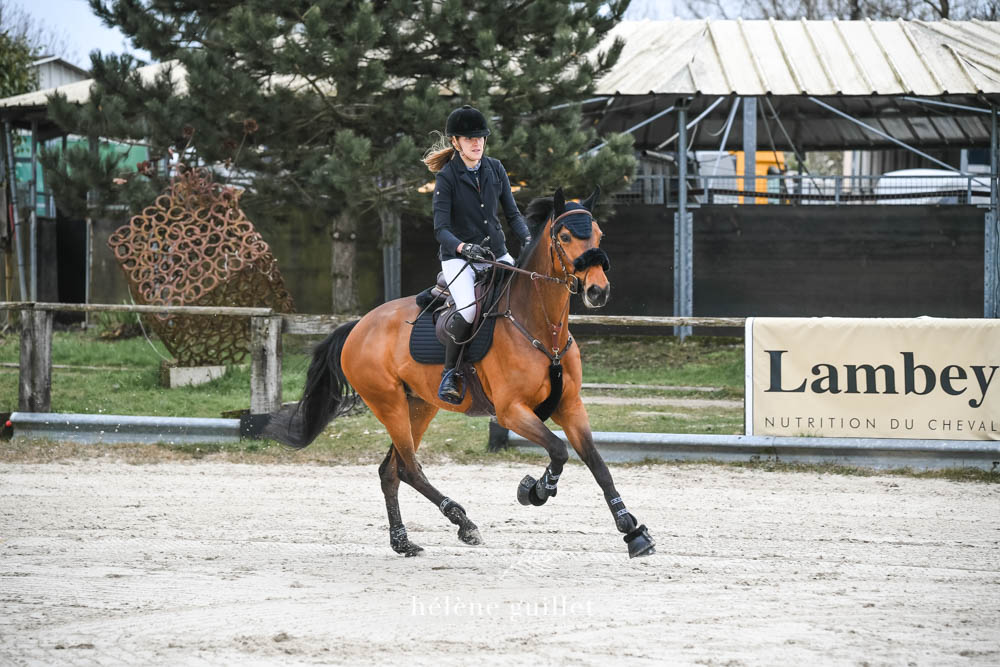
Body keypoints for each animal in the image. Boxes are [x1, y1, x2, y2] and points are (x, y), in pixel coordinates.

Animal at [266, 188, 656, 560]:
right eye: (564, 236)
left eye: (599, 234)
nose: (597, 290)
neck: (541, 326)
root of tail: (358, 326)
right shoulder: (511, 412)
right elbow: (559, 450)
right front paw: (534, 490)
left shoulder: (571, 406)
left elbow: (597, 464)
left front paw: (632, 532)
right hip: (389, 405)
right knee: (409, 468)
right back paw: (462, 522)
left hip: (419, 406)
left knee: (392, 471)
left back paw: (404, 542)